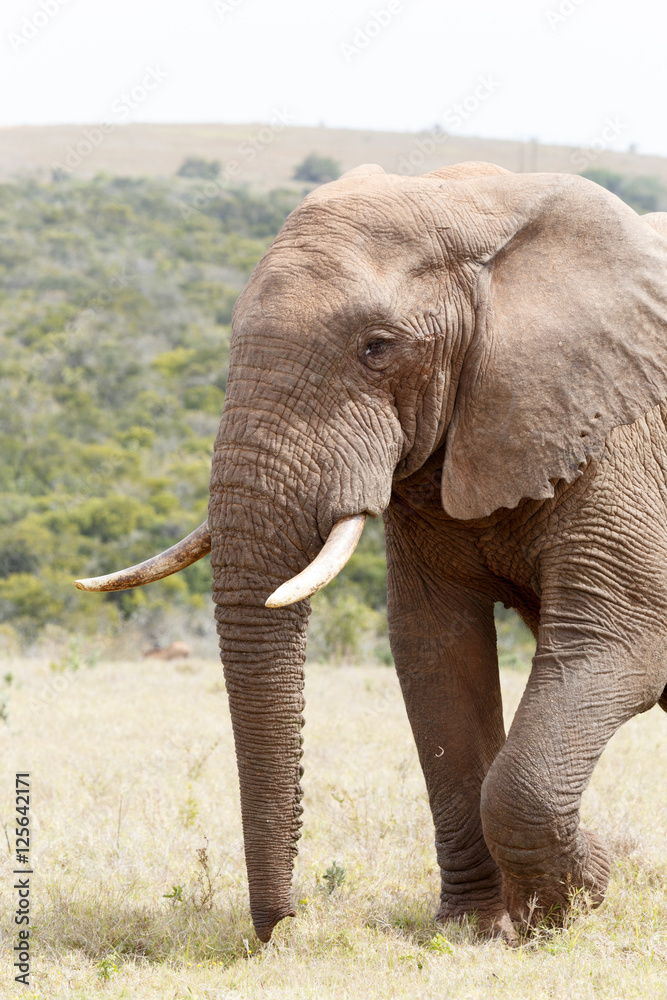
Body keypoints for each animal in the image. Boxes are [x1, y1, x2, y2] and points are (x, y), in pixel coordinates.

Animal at [75, 161, 667, 944]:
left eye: (377, 348)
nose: (281, 931)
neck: (487, 213)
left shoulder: (615, 441)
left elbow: (622, 641)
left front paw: (577, 897)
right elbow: (435, 652)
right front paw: (475, 930)